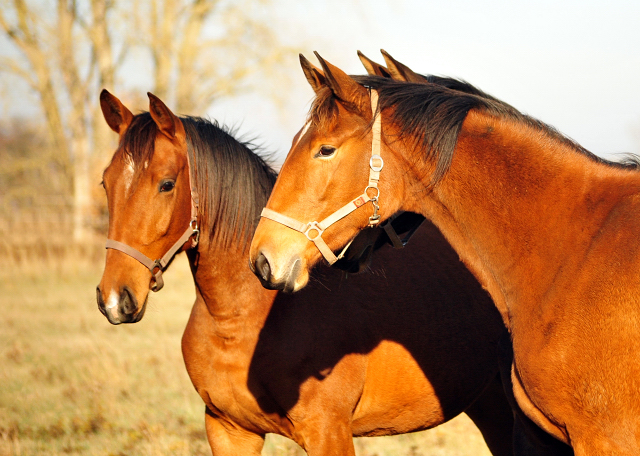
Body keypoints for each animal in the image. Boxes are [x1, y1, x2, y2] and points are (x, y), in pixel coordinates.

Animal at [95, 91, 516, 454]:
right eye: (105, 182)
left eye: (166, 184)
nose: (115, 299)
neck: (241, 319)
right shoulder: (228, 429)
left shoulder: (327, 433)